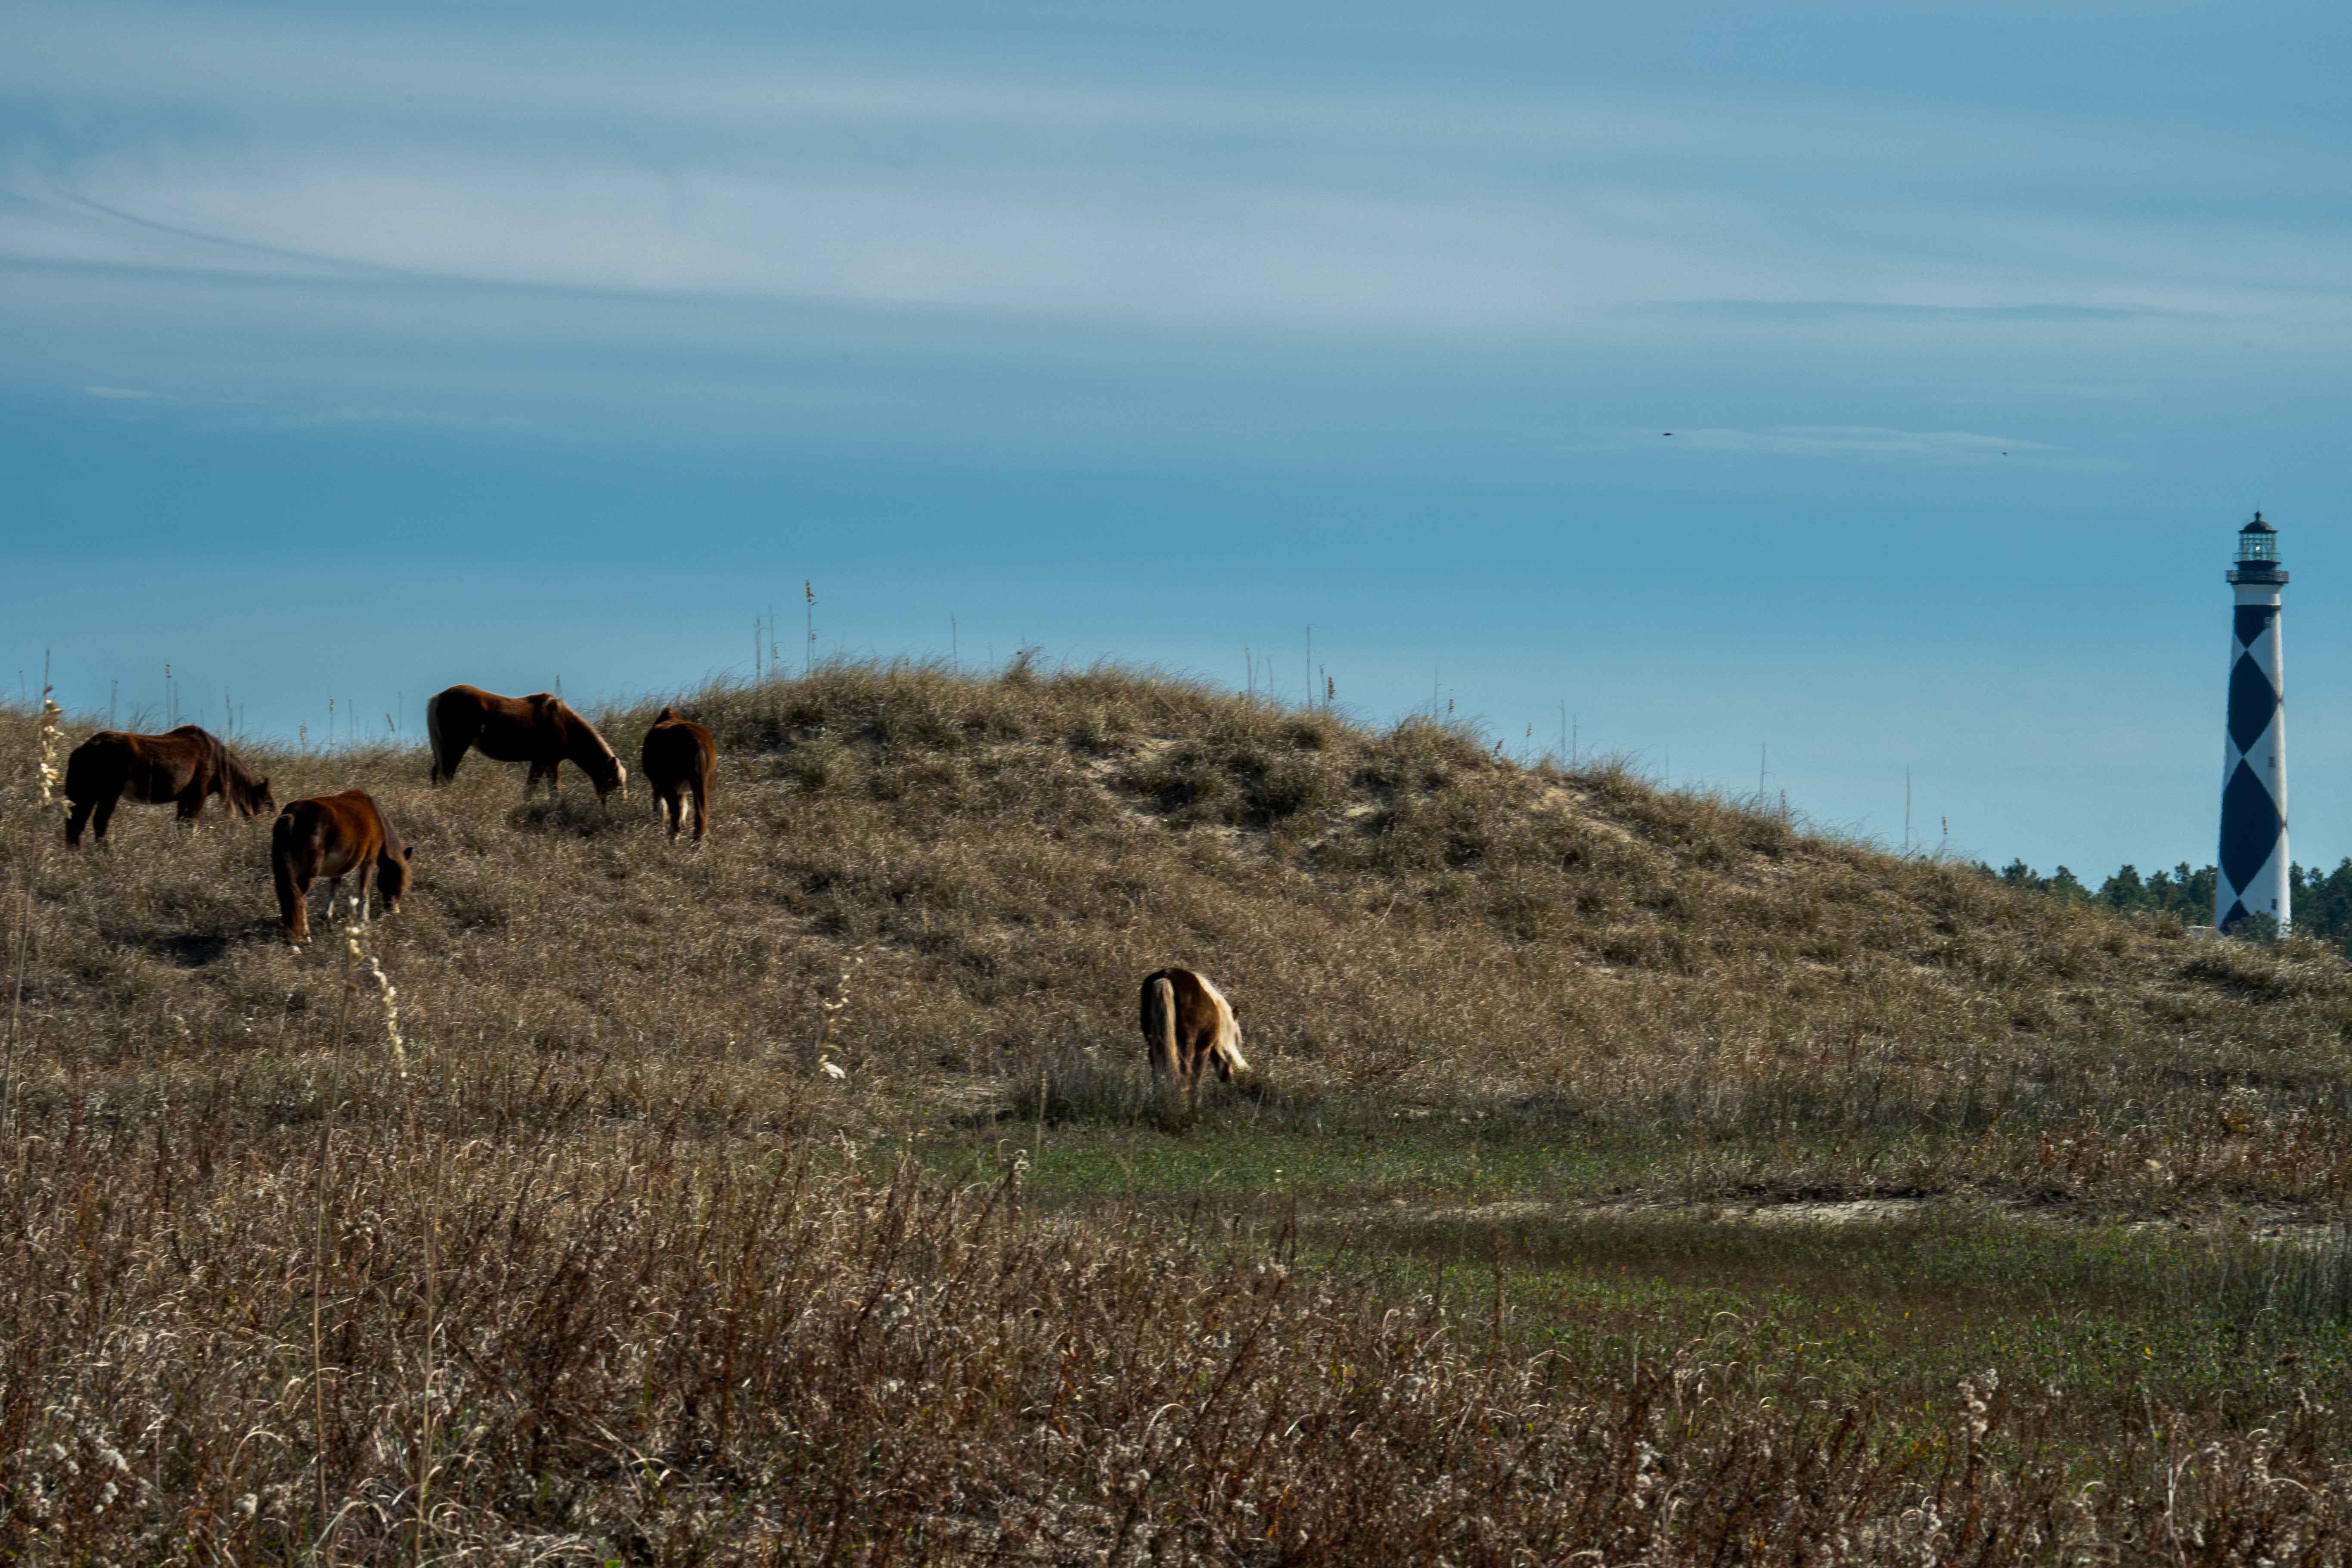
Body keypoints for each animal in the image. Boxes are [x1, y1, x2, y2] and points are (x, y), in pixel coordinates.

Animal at [64, 729, 273, 851]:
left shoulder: (185, 797)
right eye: (264, 803)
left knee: (76, 825)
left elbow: (181, 823)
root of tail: (84, 749)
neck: (216, 758)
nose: (259, 831)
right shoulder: (199, 792)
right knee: (98, 823)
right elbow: (192, 822)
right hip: (108, 794)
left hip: (87, 796)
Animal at [423, 682, 625, 804]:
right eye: (614, 782)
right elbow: (542, 794)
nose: (621, 807)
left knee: (437, 774)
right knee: (446, 775)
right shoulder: (545, 762)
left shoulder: (546, 763)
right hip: (455, 748)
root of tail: (438, 697)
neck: (563, 723)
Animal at [635, 710, 715, 841]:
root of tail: (695, 741)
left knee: (675, 813)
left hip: (668, 783)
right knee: (701, 815)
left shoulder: (658, 784)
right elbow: (684, 807)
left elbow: (660, 808)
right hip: (704, 780)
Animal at [1138, 969, 1251, 1105]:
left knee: (1157, 1068)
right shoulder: (1205, 1050)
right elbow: (1197, 1078)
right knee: (1186, 1072)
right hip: (1188, 1045)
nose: (1228, 1076)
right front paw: (1196, 1104)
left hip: (1154, 1041)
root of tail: (1166, 977)